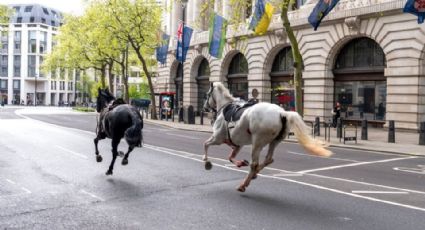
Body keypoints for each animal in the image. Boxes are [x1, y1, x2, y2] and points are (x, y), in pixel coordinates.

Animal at [202, 82, 332, 192]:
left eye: (207, 95)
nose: (204, 108)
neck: (225, 107)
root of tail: (282, 113)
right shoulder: (238, 144)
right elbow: (230, 157)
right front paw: (240, 163)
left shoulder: (217, 138)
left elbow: (206, 144)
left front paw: (206, 161)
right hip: (274, 142)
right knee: (268, 159)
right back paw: (254, 175)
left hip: (257, 142)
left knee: (255, 164)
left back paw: (244, 184)